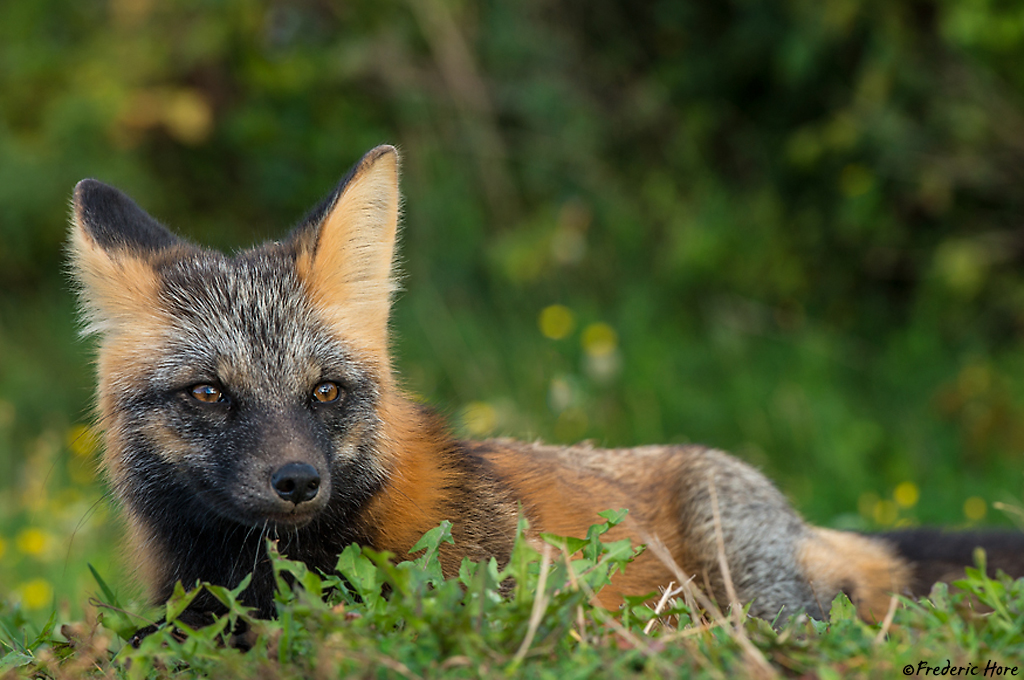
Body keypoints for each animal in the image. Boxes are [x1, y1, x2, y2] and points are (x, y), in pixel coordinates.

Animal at [70, 143, 1024, 630]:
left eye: (326, 393)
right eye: (208, 395)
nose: (297, 481)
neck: (269, 577)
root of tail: (798, 519)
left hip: (749, 586)